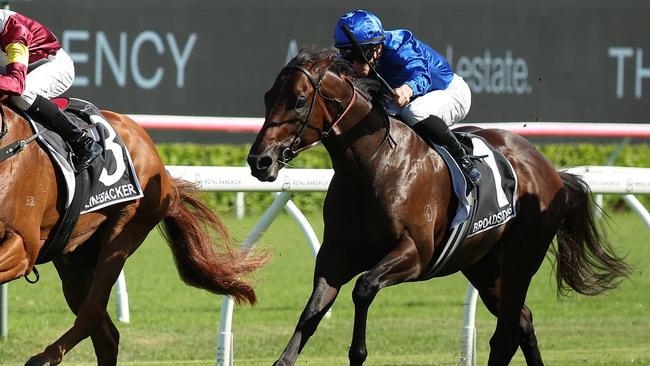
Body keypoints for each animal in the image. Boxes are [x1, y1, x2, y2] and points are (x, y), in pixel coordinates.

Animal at [0, 103, 268, 366]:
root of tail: (162, 170)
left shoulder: (23, 247)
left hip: (123, 232)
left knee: (93, 313)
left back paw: (44, 358)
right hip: (73, 254)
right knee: (106, 335)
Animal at [244, 47, 628, 364]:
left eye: (298, 100)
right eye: (267, 97)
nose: (259, 161)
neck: (374, 165)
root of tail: (549, 168)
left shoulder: (417, 253)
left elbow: (364, 287)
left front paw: (358, 352)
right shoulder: (336, 254)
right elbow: (312, 311)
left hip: (521, 259)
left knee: (505, 334)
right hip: (482, 265)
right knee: (522, 322)